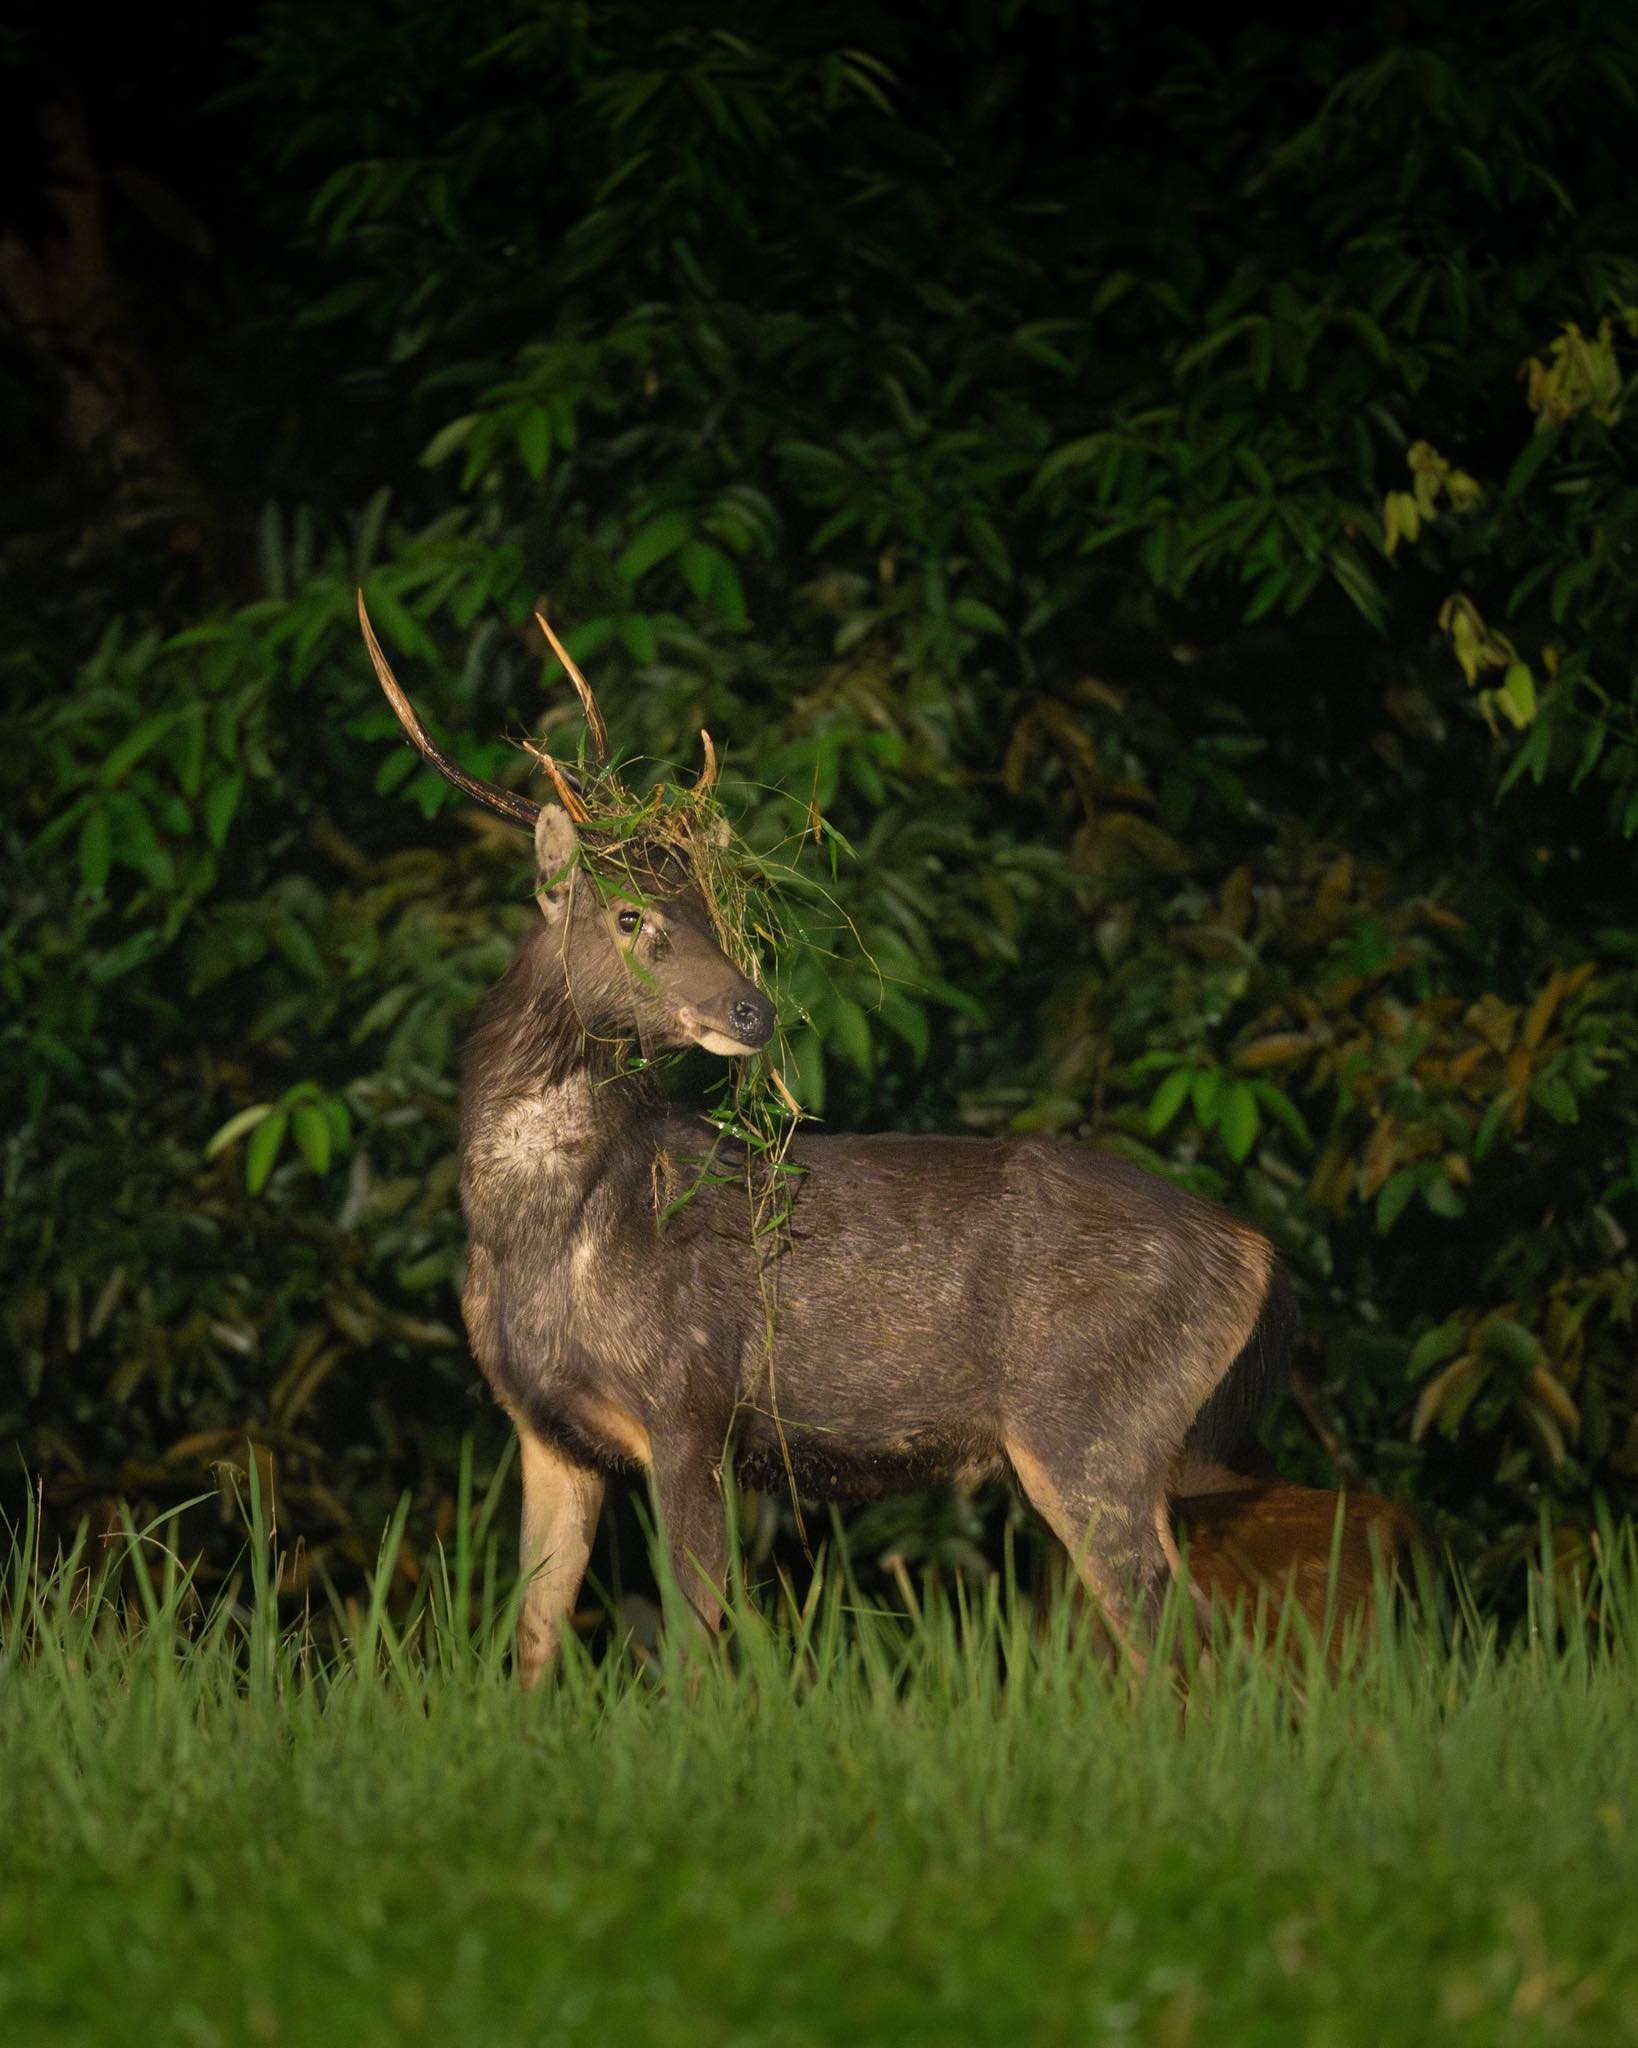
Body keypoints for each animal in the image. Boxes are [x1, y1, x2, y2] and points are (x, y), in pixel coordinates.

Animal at [360, 597, 1301, 1686]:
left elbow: (693, 1637)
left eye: (708, 905)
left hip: (1093, 1420)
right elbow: (532, 1636)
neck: (544, 1235)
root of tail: (1257, 1253)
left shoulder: (692, 1398)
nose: (753, 1008)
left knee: (1174, 1636)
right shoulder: (543, 1429)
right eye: (631, 915)